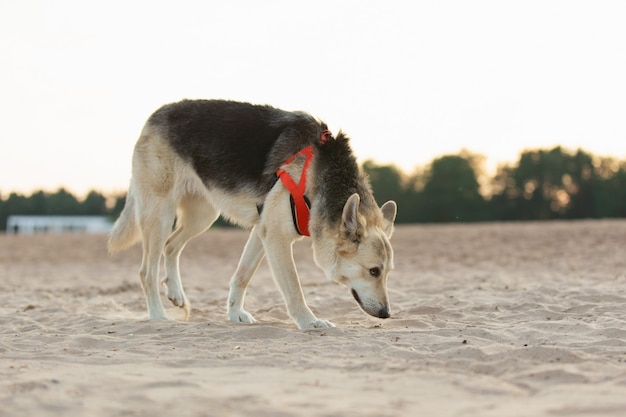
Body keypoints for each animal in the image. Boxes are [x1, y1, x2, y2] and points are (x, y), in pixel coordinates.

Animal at [107, 98, 394, 328]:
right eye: (373, 271)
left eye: (388, 272)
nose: (386, 314)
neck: (319, 172)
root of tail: (155, 115)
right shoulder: (276, 237)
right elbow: (294, 288)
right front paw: (309, 322)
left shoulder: (261, 231)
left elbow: (242, 276)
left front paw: (235, 314)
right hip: (161, 214)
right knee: (147, 271)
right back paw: (158, 315)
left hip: (202, 217)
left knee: (171, 246)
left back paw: (177, 294)